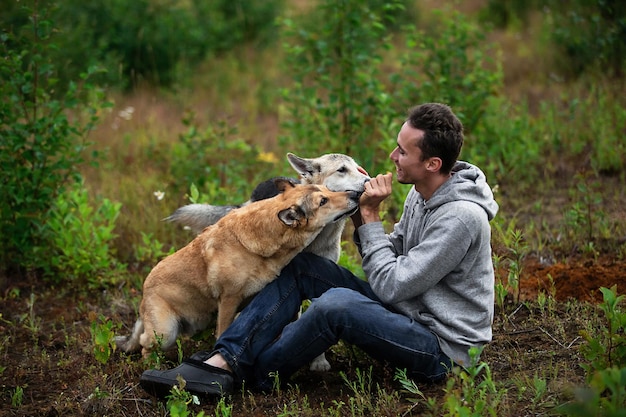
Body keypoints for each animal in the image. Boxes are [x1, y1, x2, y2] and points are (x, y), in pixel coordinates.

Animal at [116, 177, 358, 356]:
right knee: (145, 344)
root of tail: (145, 292)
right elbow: (223, 331)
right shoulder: (229, 298)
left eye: (328, 189)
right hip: (165, 332)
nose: (355, 194)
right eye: (323, 201)